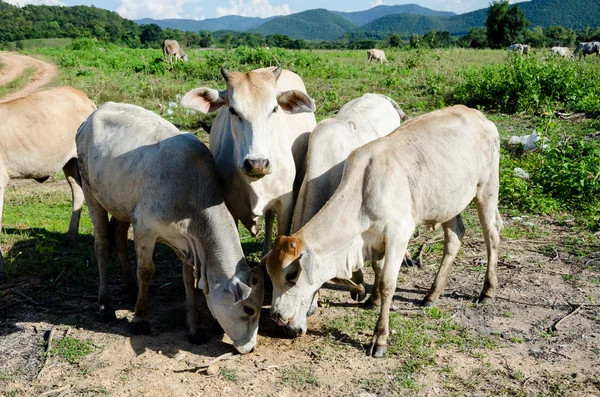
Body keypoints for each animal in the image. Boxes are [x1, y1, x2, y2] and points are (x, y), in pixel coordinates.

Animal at [76, 102, 264, 352]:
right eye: (248, 309)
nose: (250, 347)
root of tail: (91, 116)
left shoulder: (188, 243)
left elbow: (189, 281)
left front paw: (195, 329)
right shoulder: (145, 228)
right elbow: (146, 271)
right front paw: (140, 319)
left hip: (121, 205)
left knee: (118, 239)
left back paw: (131, 290)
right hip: (91, 194)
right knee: (102, 246)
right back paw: (105, 306)